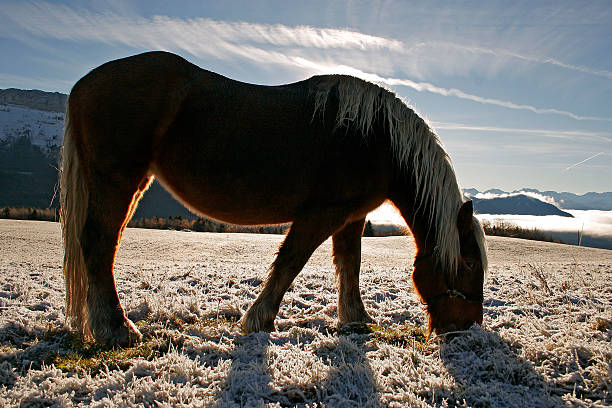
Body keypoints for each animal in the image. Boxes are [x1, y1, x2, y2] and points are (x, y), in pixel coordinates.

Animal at [58, 49, 488, 346]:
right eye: (468, 264)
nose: (465, 330)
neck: (376, 138)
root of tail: (83, 85)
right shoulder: (322, 213)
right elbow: (290, 261)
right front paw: (259, 318)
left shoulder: (351, 217)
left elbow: (349, 265)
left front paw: (355, 318)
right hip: (116, 180)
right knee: (98, 244)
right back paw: (115, 329)